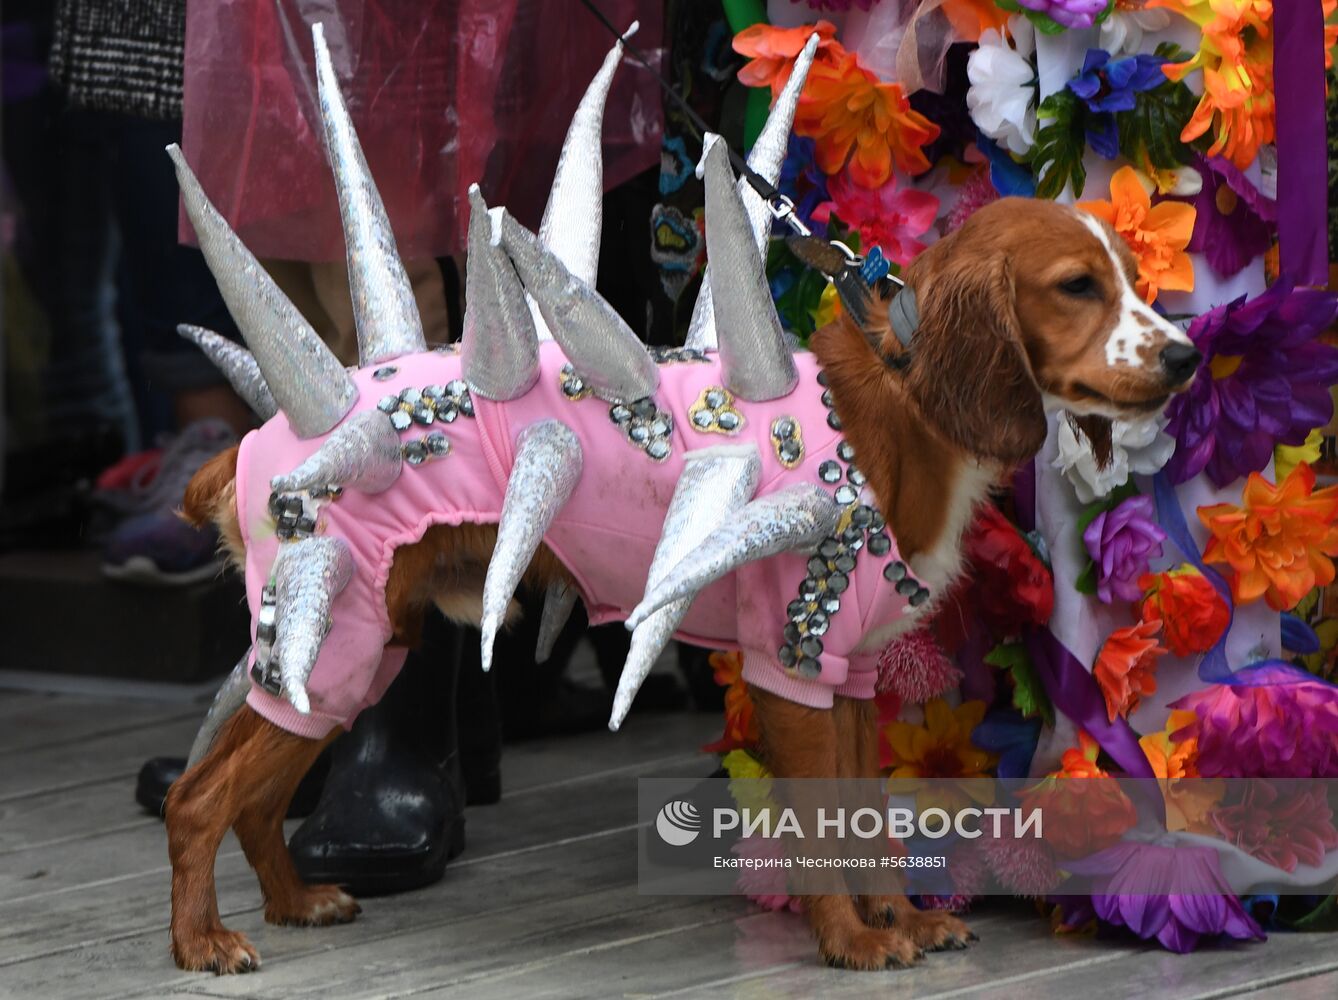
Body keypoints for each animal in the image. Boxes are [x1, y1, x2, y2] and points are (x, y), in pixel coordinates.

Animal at [167, 198, 1204, 979]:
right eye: (1077, 286)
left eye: (1128, 274)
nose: (1188, 356)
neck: (898, 406)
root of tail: (258, 442)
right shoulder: (794, 664)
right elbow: (820, 830)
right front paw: (853, 941)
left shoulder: (850, 678)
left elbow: (864, 818)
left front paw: (899, 918)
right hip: (331, 637)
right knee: (196, 798)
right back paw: (202, 941)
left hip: (352, 657)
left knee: (253, 795)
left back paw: (293, 902)